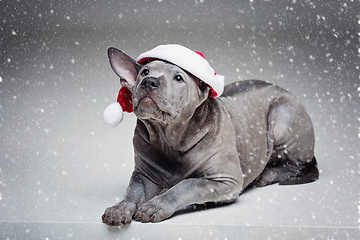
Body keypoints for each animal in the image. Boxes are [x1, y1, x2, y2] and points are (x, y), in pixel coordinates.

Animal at [101, 44, 318, 225]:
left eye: (178, 78)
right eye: (144, 72)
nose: (149, 82)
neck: (169, 138)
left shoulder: (225, 181)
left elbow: (188, 185)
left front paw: (157, 205)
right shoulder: (143, 176)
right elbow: (133, 191)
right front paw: (119, 208)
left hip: (282, 117)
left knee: (296, 165)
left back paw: (267, 174)